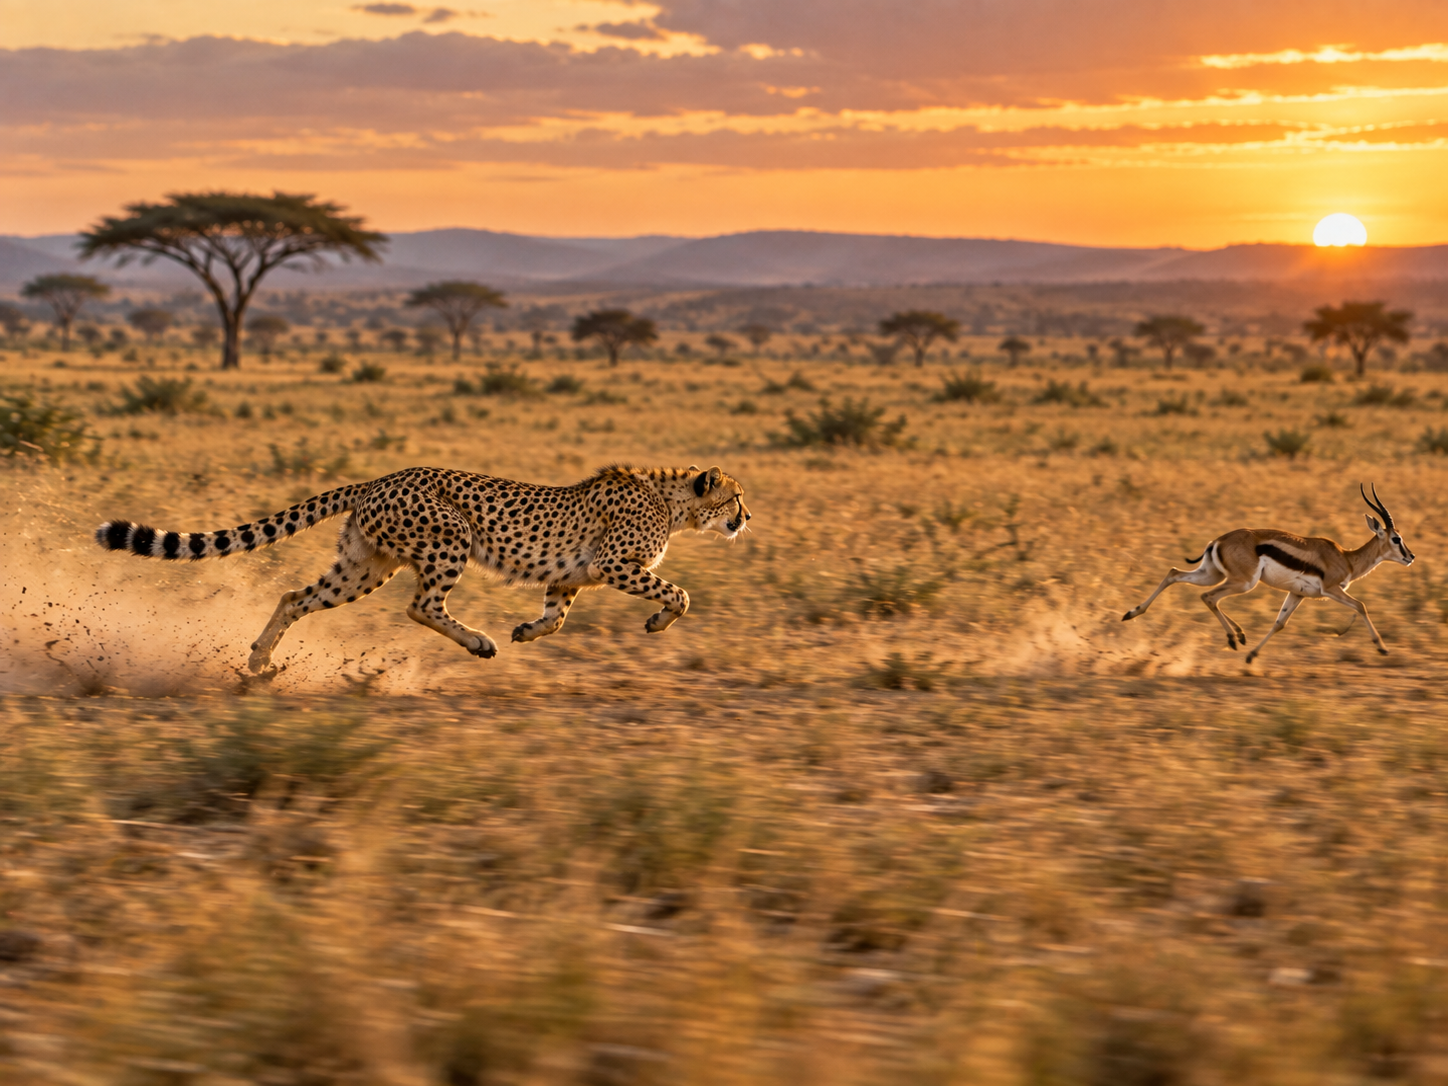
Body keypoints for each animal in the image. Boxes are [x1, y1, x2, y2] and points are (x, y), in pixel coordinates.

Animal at [95, 463, 750, 673]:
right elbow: (680, 593)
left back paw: (259, 661)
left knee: (294, 597)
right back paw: (478, 642)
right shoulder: (615, 563)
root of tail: (381, 477)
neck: (674, 502)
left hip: (363, 566)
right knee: (421, 605)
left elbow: (557, 618)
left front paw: (527, 630)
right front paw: (658, 623)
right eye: (735, 498)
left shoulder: (568, 577)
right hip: (448, 538)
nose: (747, 519)